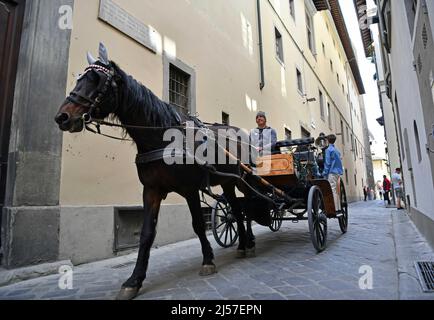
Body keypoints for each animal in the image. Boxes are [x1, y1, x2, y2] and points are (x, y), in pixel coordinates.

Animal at [55, 43, 256, 300]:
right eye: (79, 78)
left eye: (97, 80)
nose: (62, 117)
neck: (160, 137)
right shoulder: (151, 190)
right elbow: (147, 233)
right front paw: (134, 280)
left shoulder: (190, 189)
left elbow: (198, 224)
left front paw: (208, 260)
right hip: (228, 182)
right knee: (237, 209)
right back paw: (244, 243)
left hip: (237, 180)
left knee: (243, 208)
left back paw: (246, 244)